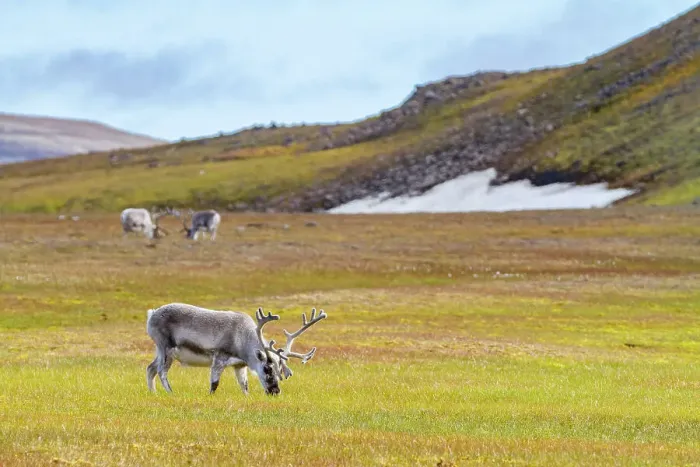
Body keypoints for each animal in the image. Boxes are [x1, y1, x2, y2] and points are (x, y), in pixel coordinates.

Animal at [145, 303, 327, 396]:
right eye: (267, 368)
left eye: (280, 371)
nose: (275, 391)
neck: (242, 339)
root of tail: (152, 313)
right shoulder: (219, 357)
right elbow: (214, 384)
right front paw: (211, 397)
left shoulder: (239, 365)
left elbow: (244, 386)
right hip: (165, 348)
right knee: (161, 371)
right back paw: (171, 393)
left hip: (160, 351)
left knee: (150, 368)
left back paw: (154, 393)